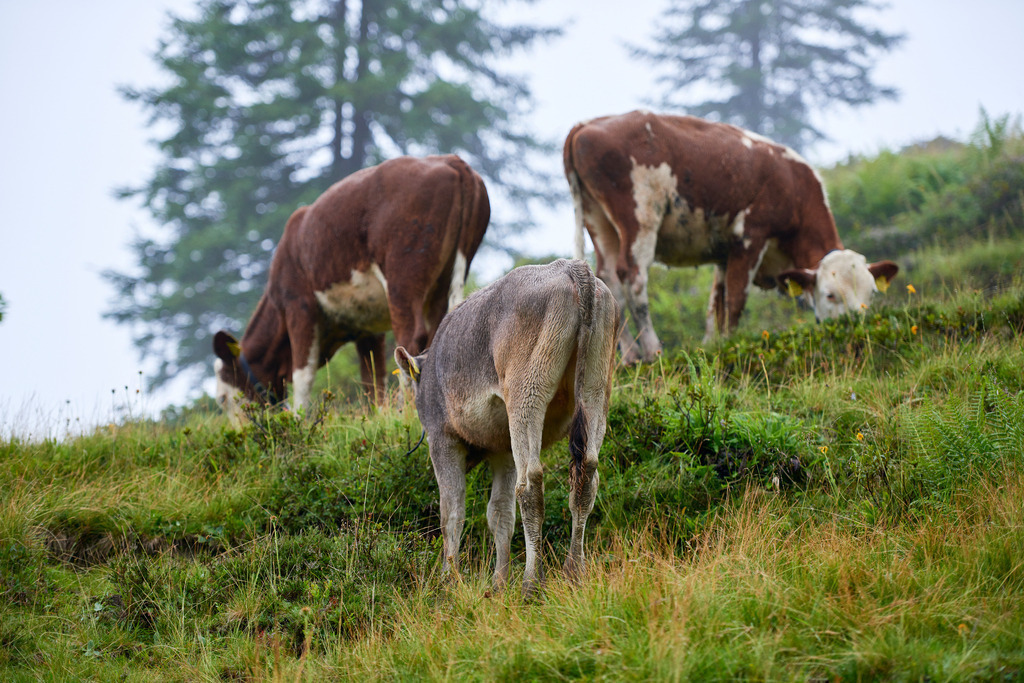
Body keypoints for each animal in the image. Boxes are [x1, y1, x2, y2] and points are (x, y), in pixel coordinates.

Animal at [213, 154, 490, 424]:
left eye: (223, 400)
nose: (245, 432)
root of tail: (453, 160)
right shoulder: (367, 326)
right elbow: (372, 378)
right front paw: (378, 416)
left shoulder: (298, 305)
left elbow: (303, 372)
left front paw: (299, 422)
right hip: (442, 281)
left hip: (403, 276)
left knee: (410, 338)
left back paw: (407, 409)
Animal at [394, 259, 619, 598]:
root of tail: (571, 267)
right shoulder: (501, 450)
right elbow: (500, 513)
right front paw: (499, 582)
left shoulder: (442, 439)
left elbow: (452, 511)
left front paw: (449, 580)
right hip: (595, 386)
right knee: (586, 476)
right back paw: (573, 573)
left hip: (526, 391)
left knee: (530, 484)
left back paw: (532, 582)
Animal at [563, 110, 899, 363]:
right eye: (830, 294)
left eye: (872, 293)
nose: (857, 327)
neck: (794, 185)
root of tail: (586, 124)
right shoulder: (749, 237)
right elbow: (736, 301)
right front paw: (731, 344)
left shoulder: (725, 254)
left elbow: (717, 305)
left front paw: (713, 345)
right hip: (639, 217)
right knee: (633, 278)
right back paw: (652, 350)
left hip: (600, 222)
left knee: (608, 277)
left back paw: (629, 357)